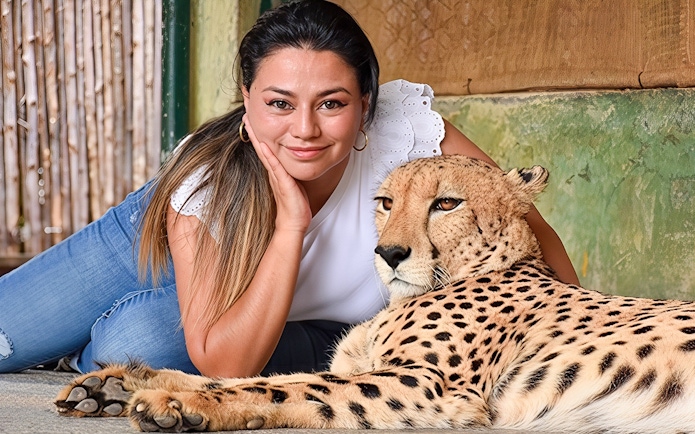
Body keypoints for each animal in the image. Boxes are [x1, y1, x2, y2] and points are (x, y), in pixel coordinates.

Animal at [55, 155, 695, 433]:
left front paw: (173, 401)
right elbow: (259, 374)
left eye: (447, 203)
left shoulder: (434, 390)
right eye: (386, 202)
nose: (389, 254)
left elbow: (291, 387)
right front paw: (119, 382)